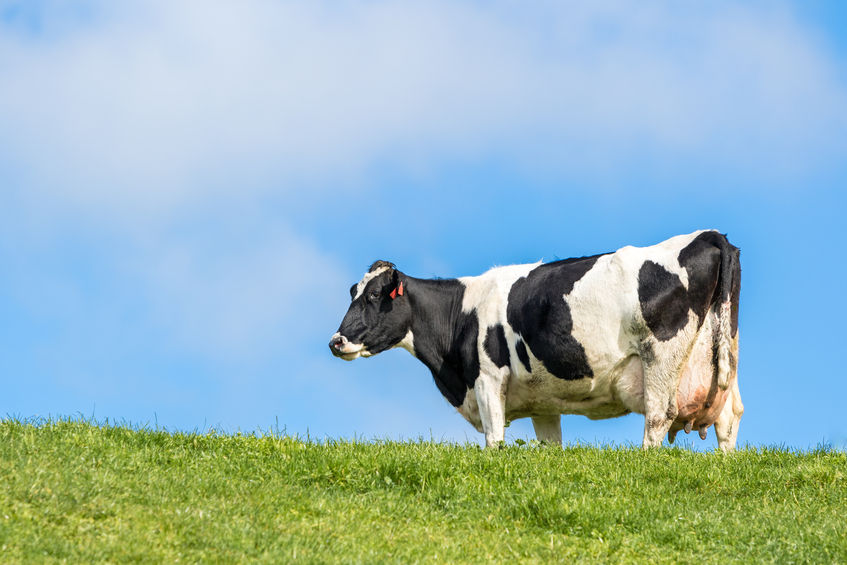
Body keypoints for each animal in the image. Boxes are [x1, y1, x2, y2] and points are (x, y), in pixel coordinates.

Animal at [328, 229, 744, 450]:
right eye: (352, 292)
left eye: (373, 296)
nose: (336, 341)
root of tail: (708, 235)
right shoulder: (544, 402)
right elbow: (550, 445)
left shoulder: (487, 379)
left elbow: (494, 440)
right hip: (721, 357)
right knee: (729, 418)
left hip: (660, 356)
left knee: (658, 415)